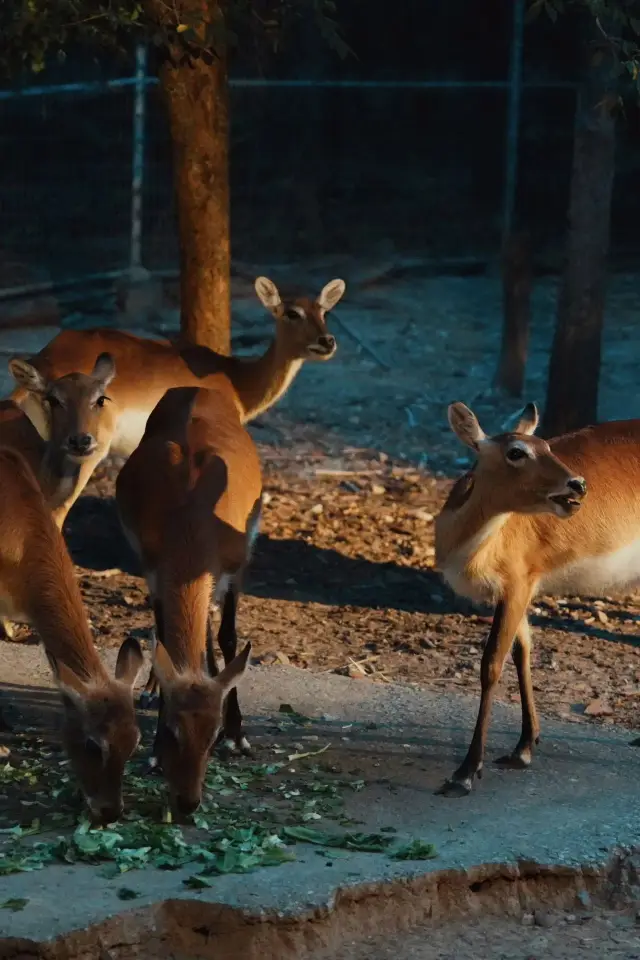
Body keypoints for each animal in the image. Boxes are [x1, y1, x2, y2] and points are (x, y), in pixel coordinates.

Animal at [115, 382, 258, 816]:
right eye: (172, 732)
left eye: (211, 736)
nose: (187, 801)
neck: (191, 522)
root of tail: (196, 388)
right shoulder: (156, 574)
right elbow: (163, 638)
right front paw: (153, 754)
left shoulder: (233, 572)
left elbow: (229, 638)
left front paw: (238, 735)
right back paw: (149, 686)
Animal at [432, 402, 640, 800]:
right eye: (517, 451)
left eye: (546, 445)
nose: (578, 484)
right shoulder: (518, 589)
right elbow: (522, 652)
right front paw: (524, 748)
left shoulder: (516, 584)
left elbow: (491, 664)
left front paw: (465, 772)